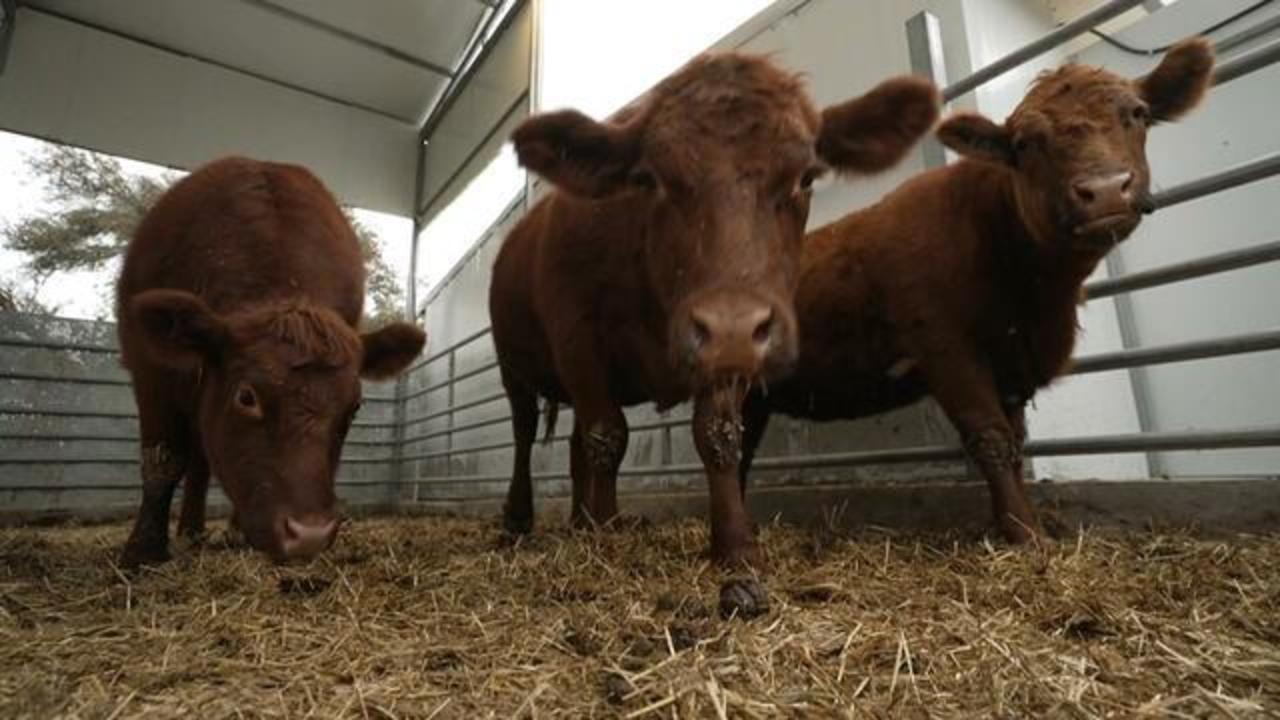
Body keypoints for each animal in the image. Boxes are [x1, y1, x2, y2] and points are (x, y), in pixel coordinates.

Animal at [116, 157, 426, 569]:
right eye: (247, 397)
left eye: (354, 407)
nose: (309, 534)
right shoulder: (150, 370)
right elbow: (162, 459)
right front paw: (144, 549)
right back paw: (189, 532)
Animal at [489, 51, 940, 609]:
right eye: (650, 179)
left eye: (807, 177)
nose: (731, 324)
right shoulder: (577, 337)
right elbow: (608, 438)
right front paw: (608, 532)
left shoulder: (727, 359)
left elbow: (718, 436)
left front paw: (735, 544)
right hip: (514, 368)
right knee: (525, 434)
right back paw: (521, 519)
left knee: (574, 444)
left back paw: (579, 519)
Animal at [738, 39, 1215, 543]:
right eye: (1025, 144)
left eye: (1137, 113)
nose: (1104, 190)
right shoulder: (946, 349)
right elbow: (990, 438)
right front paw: (1024, 533)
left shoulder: (1012, 369)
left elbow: (1016, 443)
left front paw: (1018, 521)